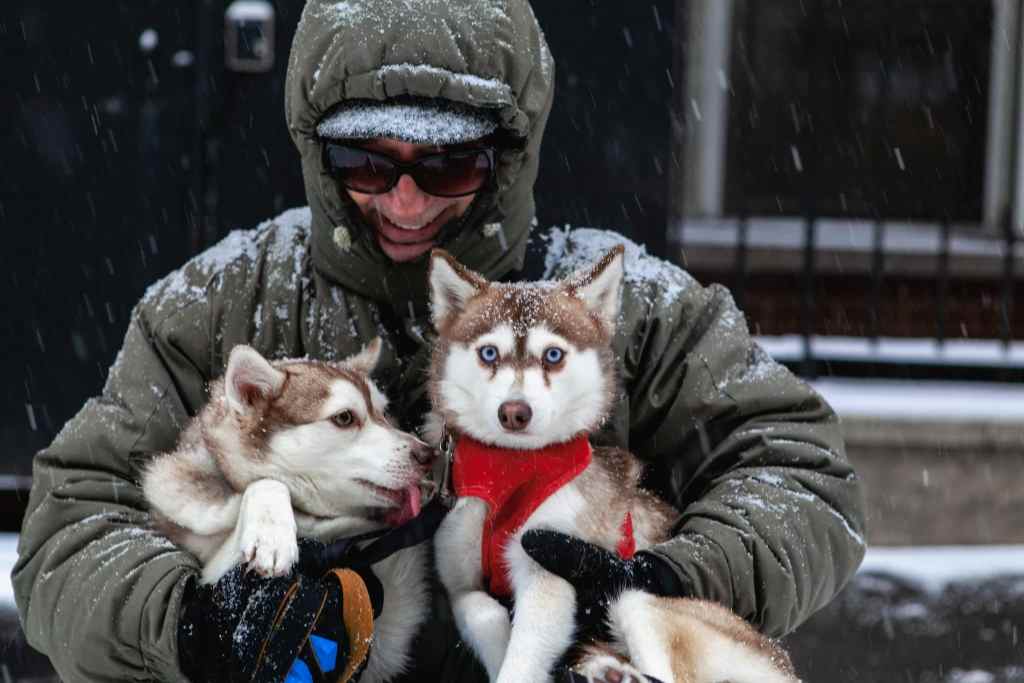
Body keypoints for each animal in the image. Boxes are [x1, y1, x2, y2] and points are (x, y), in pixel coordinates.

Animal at [142, 339, 430, 679]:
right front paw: (272, 537)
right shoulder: (209, 570)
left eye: (383, 412)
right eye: (345, 418)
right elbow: (267, 483)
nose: (430, 454)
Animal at [423, 248, 798, 683]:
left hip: (638, 598)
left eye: (553, 355)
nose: (514, 412)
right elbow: (480, 609)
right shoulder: (459, 581)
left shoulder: (549, 567)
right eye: (488, 353)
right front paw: (501, 648)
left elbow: (527, 650)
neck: (510, 471)